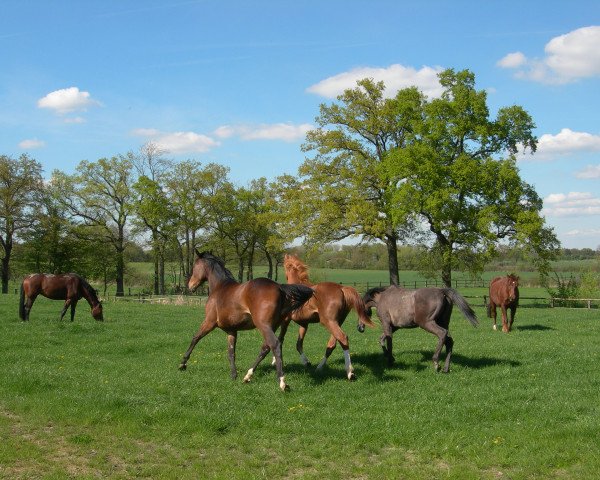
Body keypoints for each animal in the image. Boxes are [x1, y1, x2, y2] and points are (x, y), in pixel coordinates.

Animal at [178, 251, 314, 390]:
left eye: (195, 266)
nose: (190, 286)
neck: (220, 287)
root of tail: (280, 288)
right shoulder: (231, 330)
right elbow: (231, 352)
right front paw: (233, 375)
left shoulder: (209, 322)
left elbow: (195, 338)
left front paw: (182, 364)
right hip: (273, 326)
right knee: (265, 348)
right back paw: (247, 376)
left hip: (263, 326)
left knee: (275, 344)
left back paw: (282, 382)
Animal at [241, 251, 372, 382]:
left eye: (285, 265)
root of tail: (342, 288)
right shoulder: (304, 324)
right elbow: (299, 344)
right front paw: (306, 362)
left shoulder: (286, 320)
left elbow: (281, 339)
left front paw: (274, 361)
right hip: (338, 322)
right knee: (332, 344)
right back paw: (320, 367)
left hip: (329, 322)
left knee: (343, 338)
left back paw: (350, 372)